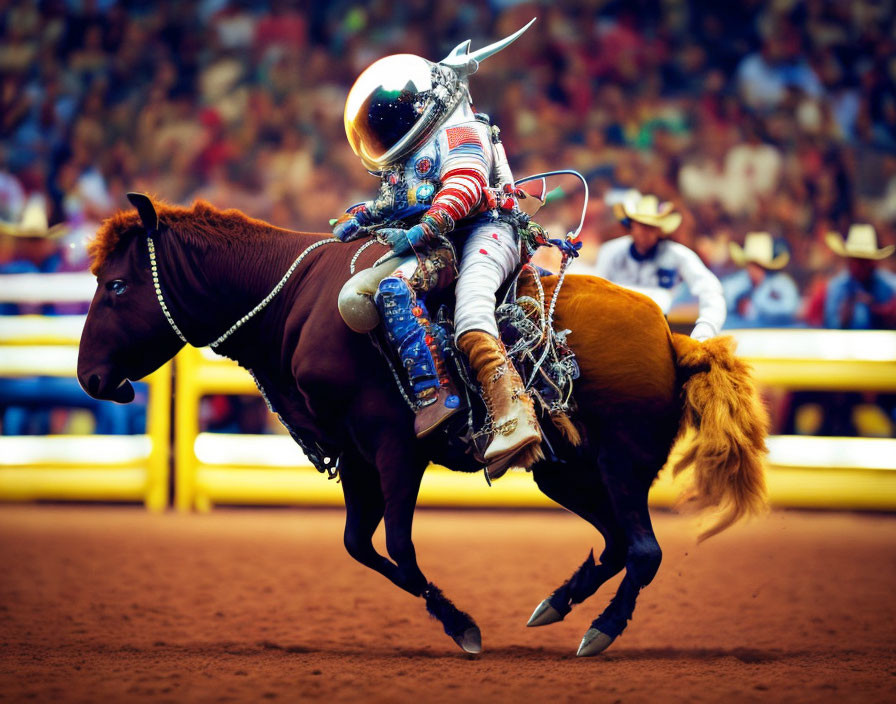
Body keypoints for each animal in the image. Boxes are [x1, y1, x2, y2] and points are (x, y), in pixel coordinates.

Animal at [77, 192, 768, 656]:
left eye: (116, 286)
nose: (90, 377)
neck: (301, 303)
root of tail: (677, 340)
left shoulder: (395, 451)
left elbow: (401, 548)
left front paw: (463, 627)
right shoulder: (355, 457)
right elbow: (360, 545)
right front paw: (457, 619)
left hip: (621, 467)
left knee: (644, 550)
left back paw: (598, 630)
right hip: (565, 472)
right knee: (620, 543)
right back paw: (556, 603)